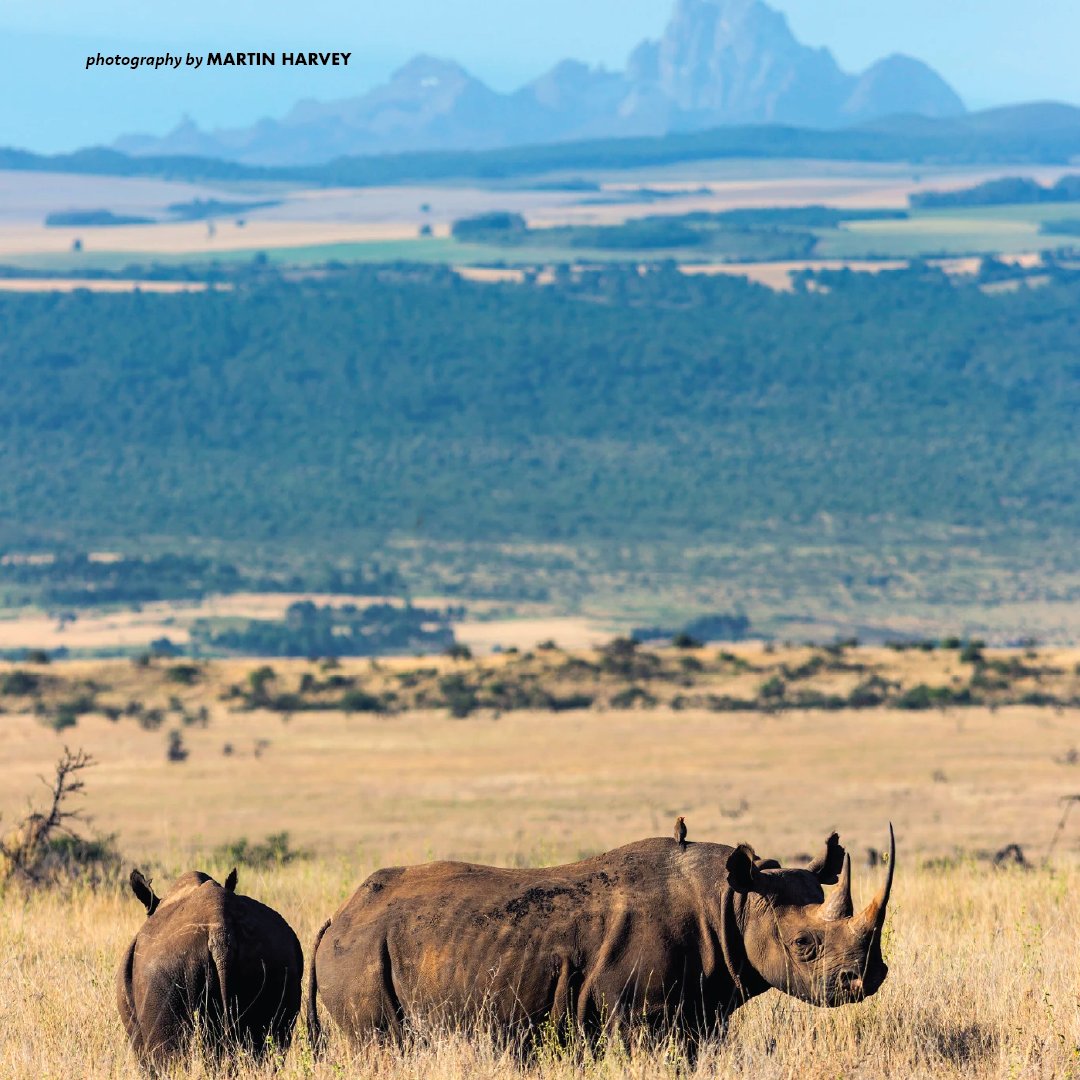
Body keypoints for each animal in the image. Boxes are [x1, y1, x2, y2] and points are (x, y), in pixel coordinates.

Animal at [307, 826, 894, 1052]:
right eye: (804, 947)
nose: (868, 979)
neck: (733, 900)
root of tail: (338, 916)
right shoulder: (639, 1014)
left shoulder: (701, 1008)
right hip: (360, 954)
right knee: (378, 1043)